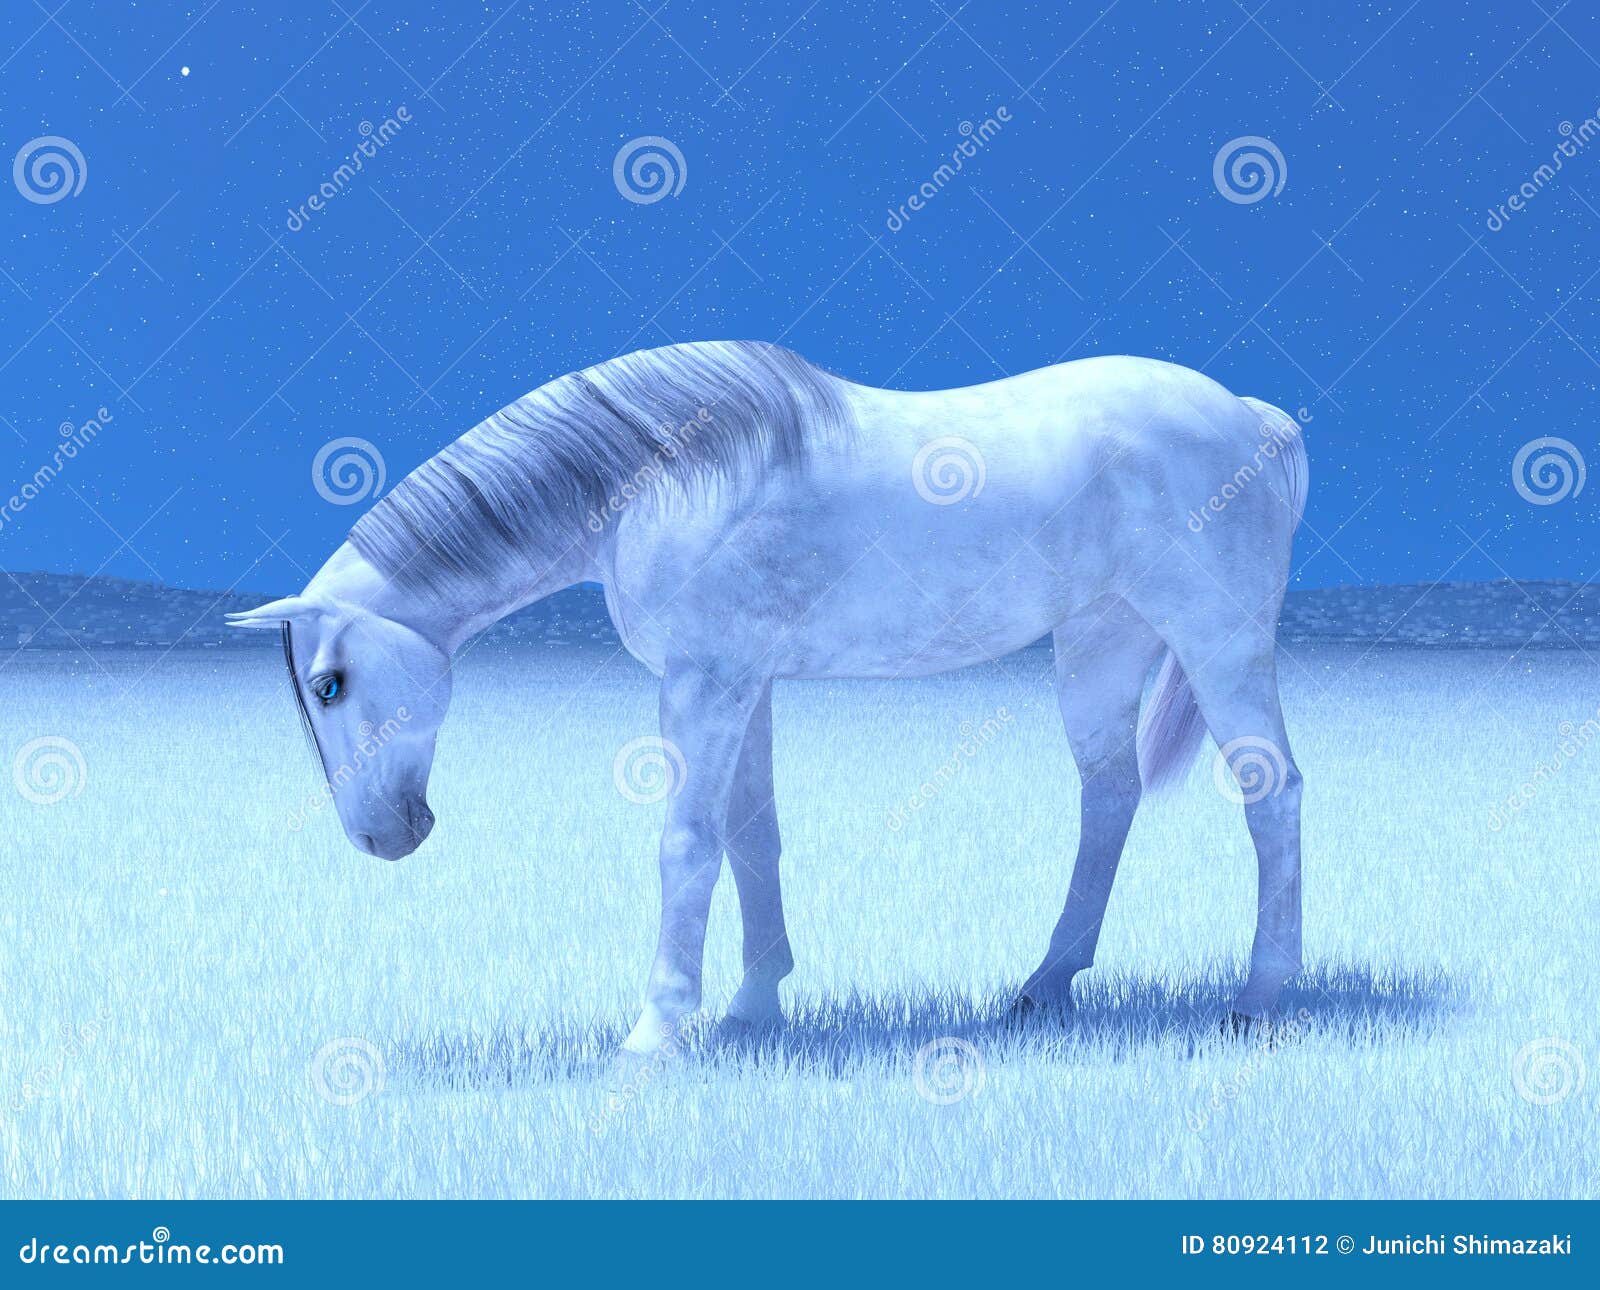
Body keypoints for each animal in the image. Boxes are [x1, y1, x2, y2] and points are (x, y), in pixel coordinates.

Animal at [228, 340, 1309, 1054]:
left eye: (329, 683)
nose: (384, 836)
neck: (658, 484)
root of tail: (1254, 416)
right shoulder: (742, 684)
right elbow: (753, 838)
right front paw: (753, 1009)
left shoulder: (706, 684)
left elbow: (686, 845)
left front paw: (657, 1032)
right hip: (1100, 643)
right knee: (1108, 796)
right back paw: (1043, 988)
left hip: (1215, 640)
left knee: (1272, 795)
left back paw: (1259, 1001)